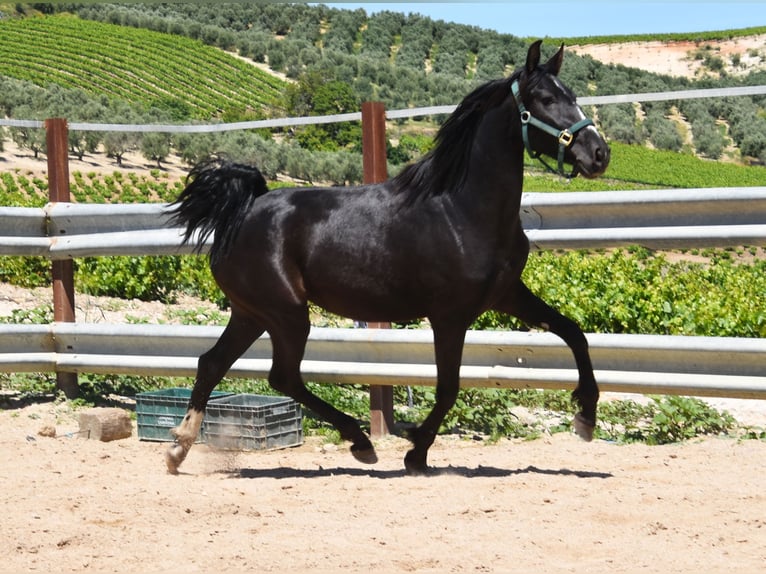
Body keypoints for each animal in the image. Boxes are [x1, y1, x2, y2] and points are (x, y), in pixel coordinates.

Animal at [166, 42, 612, 476]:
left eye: (573, 96)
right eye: (545, 98)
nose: (599, 153)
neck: (463, 209)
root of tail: (243, 210)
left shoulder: (507, 295)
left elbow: (574, 333)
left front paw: (586, 417)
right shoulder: (449, 316)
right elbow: (448, 386)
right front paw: (416, 451)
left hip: (252, 313)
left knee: (212, 363)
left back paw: (178, 450)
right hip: (286, 313)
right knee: (282, 376)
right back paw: (361, 443)